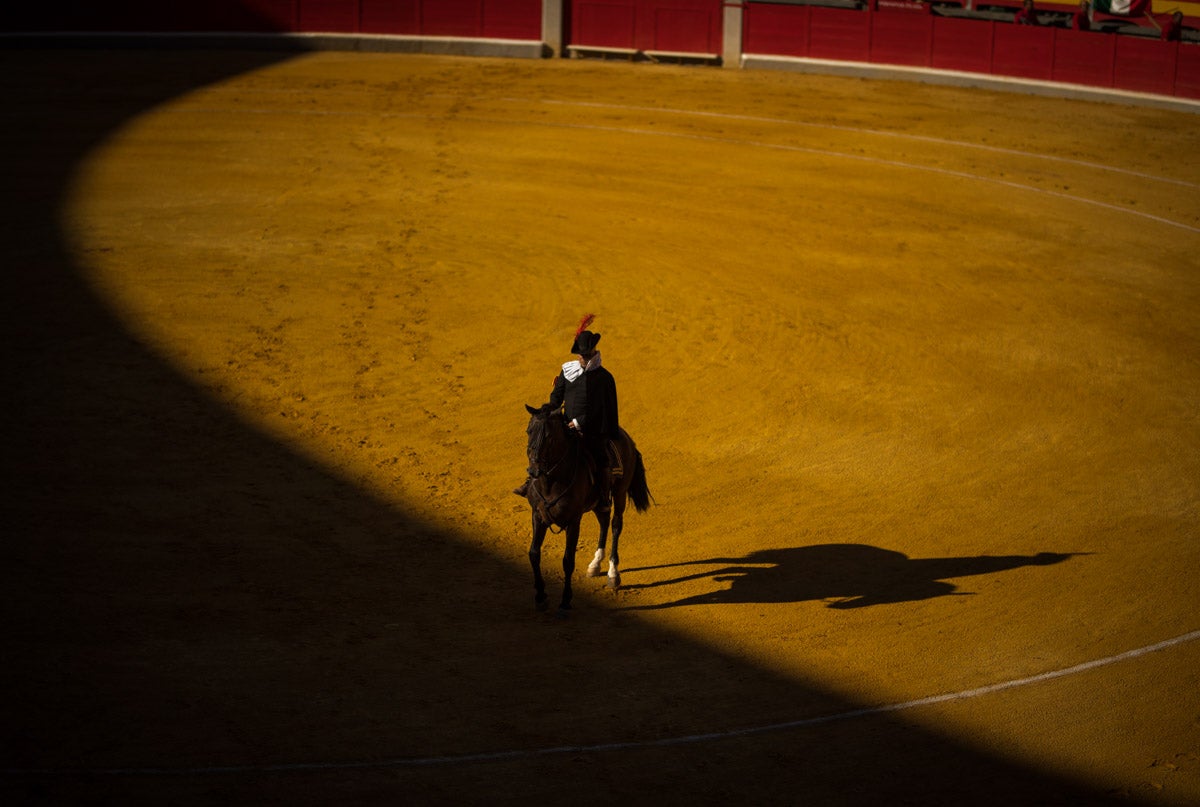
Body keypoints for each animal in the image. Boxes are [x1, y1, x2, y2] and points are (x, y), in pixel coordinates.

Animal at [520, 403, 652, 612]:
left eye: (549, 436)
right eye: (528, 431)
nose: (533, 470)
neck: (551, 482)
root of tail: (626, 438)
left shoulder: (574, 520)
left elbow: (568, 560)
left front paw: (565, 601)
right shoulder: (538, 516)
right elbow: (534, 553)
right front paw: (540, 597)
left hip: (620, 492)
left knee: (615, 525)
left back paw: (613, 574)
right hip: (599, 502)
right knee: (604, 521)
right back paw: (595, 564)